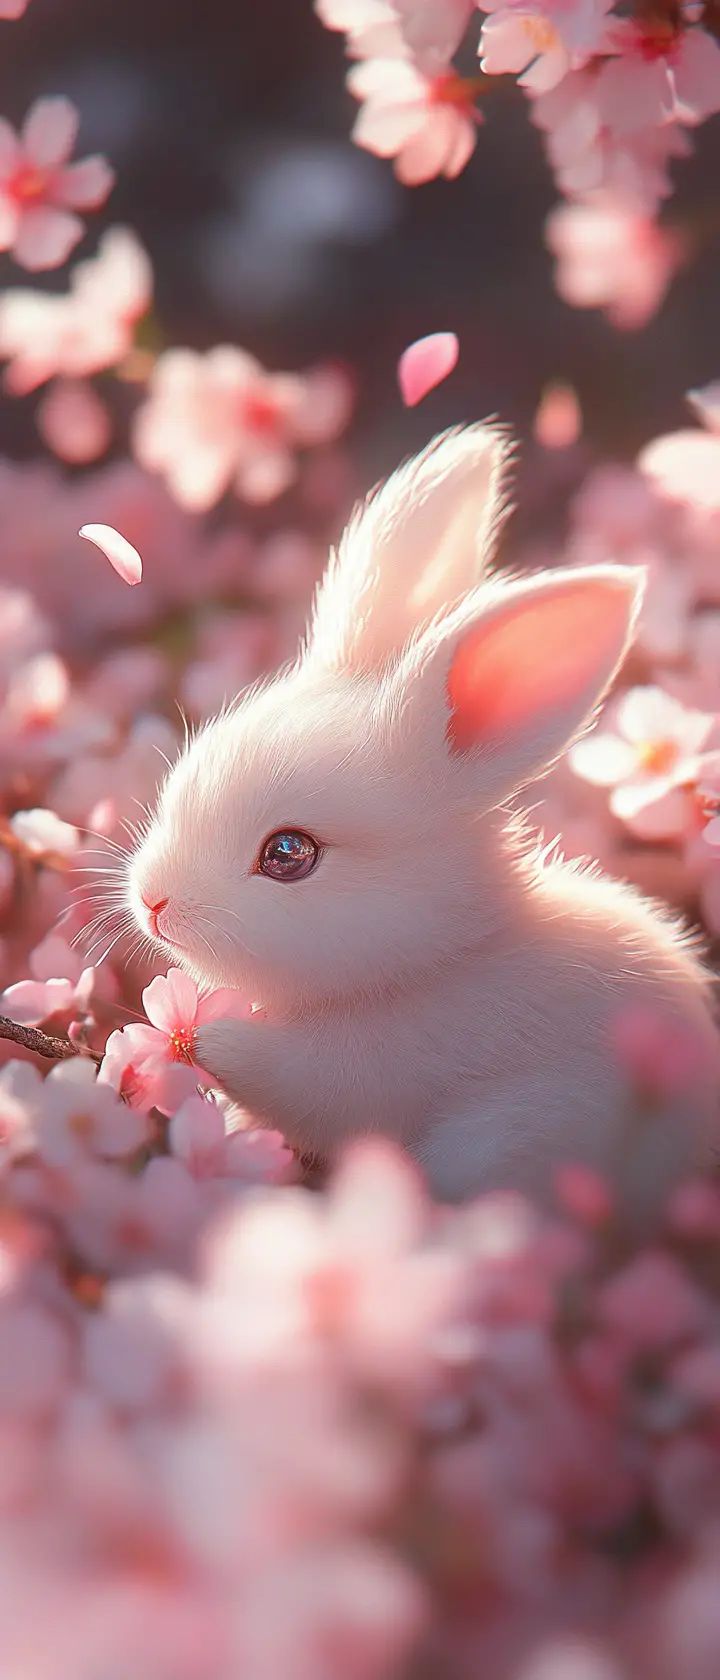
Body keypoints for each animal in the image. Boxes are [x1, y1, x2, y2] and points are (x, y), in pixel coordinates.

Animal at [127, 424, 720, 1221]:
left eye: (288, 854)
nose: (154, 903)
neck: (438, 961)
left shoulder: (364, 1068)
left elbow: (286, 1076)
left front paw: (204, 1040)